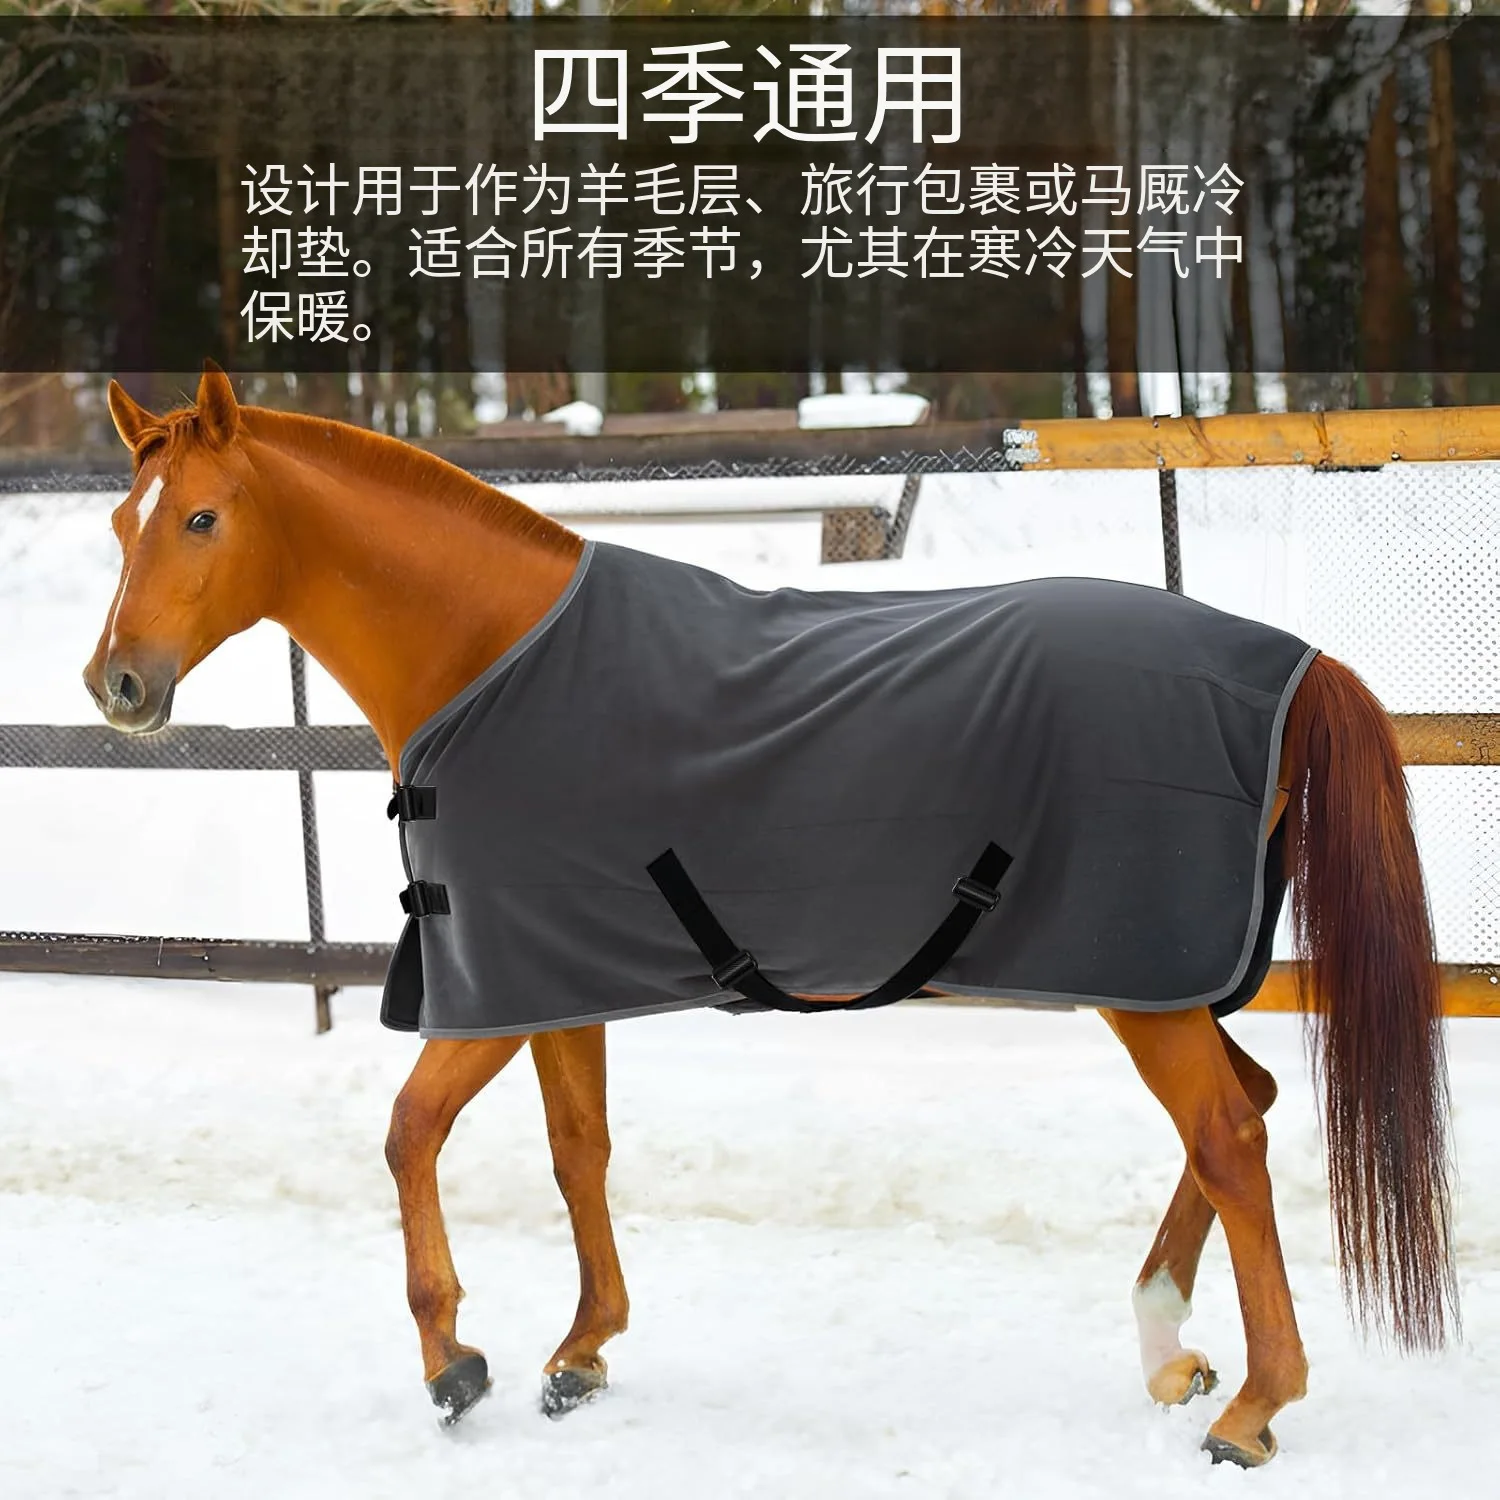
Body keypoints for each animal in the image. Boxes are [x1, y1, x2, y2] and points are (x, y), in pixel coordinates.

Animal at [83, 363, 1458, 1469]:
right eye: (119, 522)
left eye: (202, 518)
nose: (118, 685)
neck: (492, 659)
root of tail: (1287, 663)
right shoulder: (558, 978)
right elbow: (578, 1150)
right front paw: (581, 1352)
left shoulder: (493, 990)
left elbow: (409, 1133)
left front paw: (452, 1364)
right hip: (1158, 981)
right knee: (1245, 1109)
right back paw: (1169, 1350)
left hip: (1140, 979)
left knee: (1229, 1132)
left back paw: (1253, 1410)